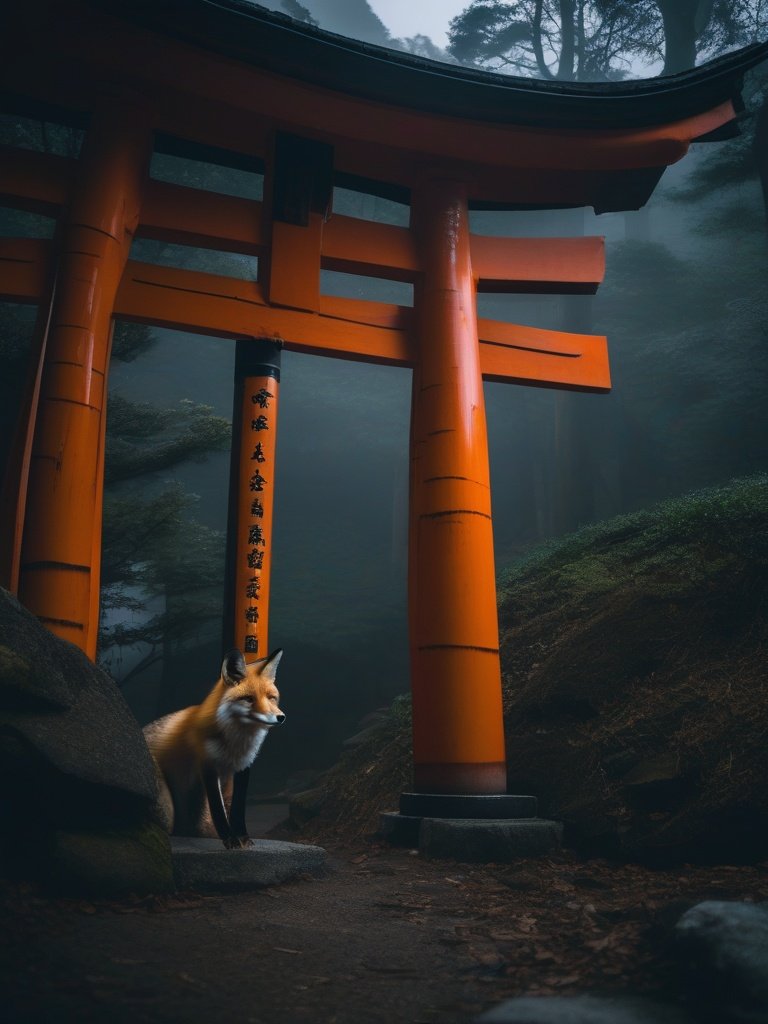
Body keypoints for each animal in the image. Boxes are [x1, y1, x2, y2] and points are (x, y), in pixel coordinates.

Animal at [143, 648, 285, 849]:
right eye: (249, 699)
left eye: (271, 698)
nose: (281, 717)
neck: (235, 745)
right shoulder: (208, 767)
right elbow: (218, 810)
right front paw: (230, 839)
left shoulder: (243, 768)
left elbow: (238, 808)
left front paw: (242, 837)